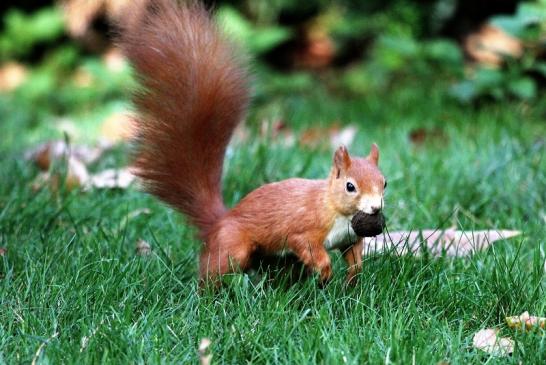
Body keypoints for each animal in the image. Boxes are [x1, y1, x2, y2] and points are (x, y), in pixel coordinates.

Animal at [118, 0, 386, 284]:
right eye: (350, 186)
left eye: (384, 183)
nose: (375, 207)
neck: (337, 210)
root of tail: (219, 223)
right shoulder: (305, 230)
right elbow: (307, 246)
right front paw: (325, 273)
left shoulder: (349, 238)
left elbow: (354, 258)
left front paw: (351, 280)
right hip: (234, 248)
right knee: (214, 268)